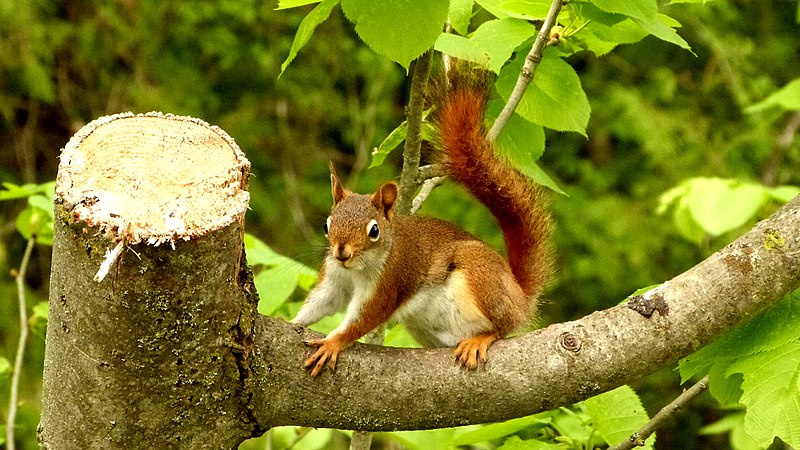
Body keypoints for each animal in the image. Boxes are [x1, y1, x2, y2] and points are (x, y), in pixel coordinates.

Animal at [290, 73, 552, 376]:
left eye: (374, 231)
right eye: (326, 225)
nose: (342, 252)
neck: (356, 269)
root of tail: (520, 295)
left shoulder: (390, 281)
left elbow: (365, 317)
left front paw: (333, 343)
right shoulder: (334, 277)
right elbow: (322, 302)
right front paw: (296, 322)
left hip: (479, 273)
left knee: (502, 326)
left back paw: (481, 338)